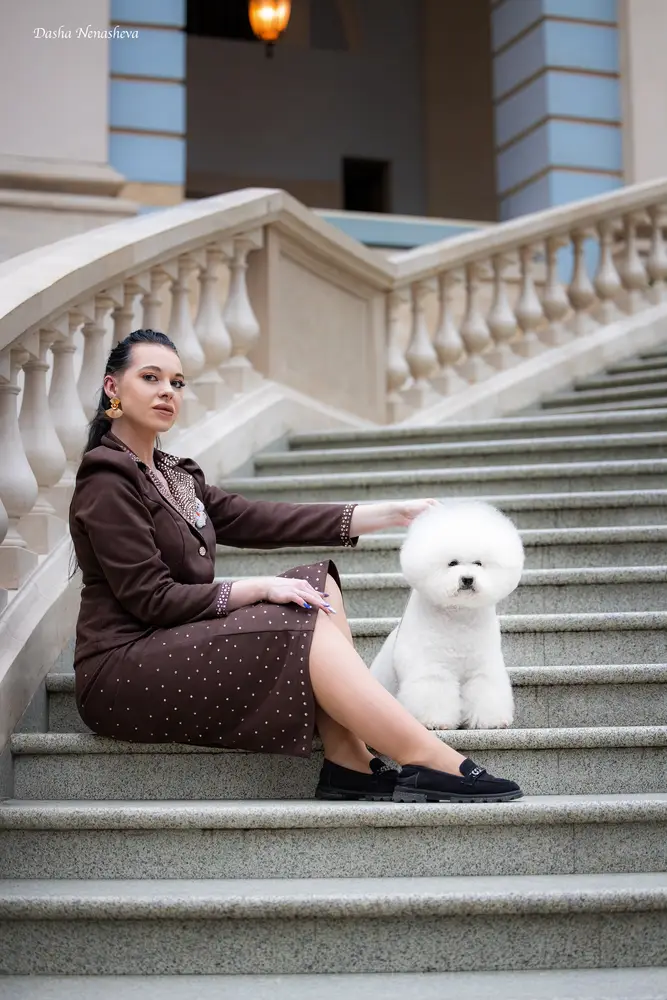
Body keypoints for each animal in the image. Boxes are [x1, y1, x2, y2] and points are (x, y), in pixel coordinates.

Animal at [370, 500, 524, 730]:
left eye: (478, 563)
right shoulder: (432, 667)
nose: (467, 579)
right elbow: (435, 689)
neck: (459, 616)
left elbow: (485, 688)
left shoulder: (482, 667)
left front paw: (491, 720)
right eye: (452, 563)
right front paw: (435, 721)